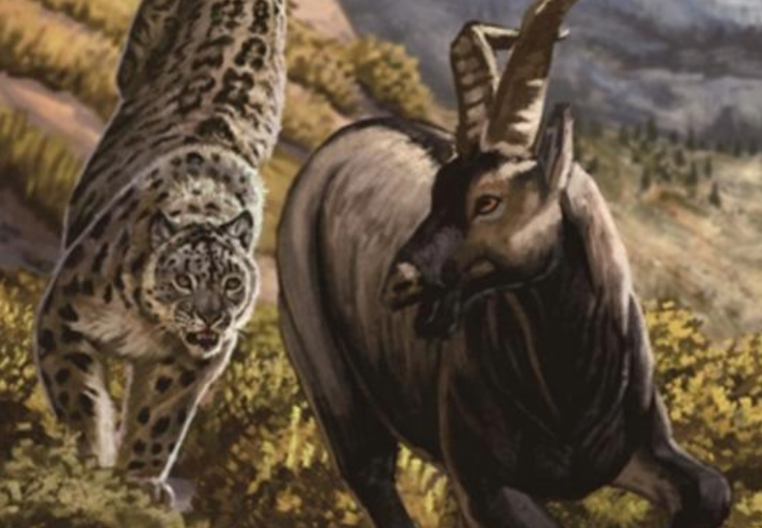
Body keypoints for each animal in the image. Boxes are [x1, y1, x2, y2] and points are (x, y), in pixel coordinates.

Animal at [32, 0, 286, 502]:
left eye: (233, 282)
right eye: (183, 279)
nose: (211, 318)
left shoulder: (193, 362)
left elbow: (161, 419)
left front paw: (140, 480)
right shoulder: (65, 309)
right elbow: (77, 389)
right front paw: (92, 454)